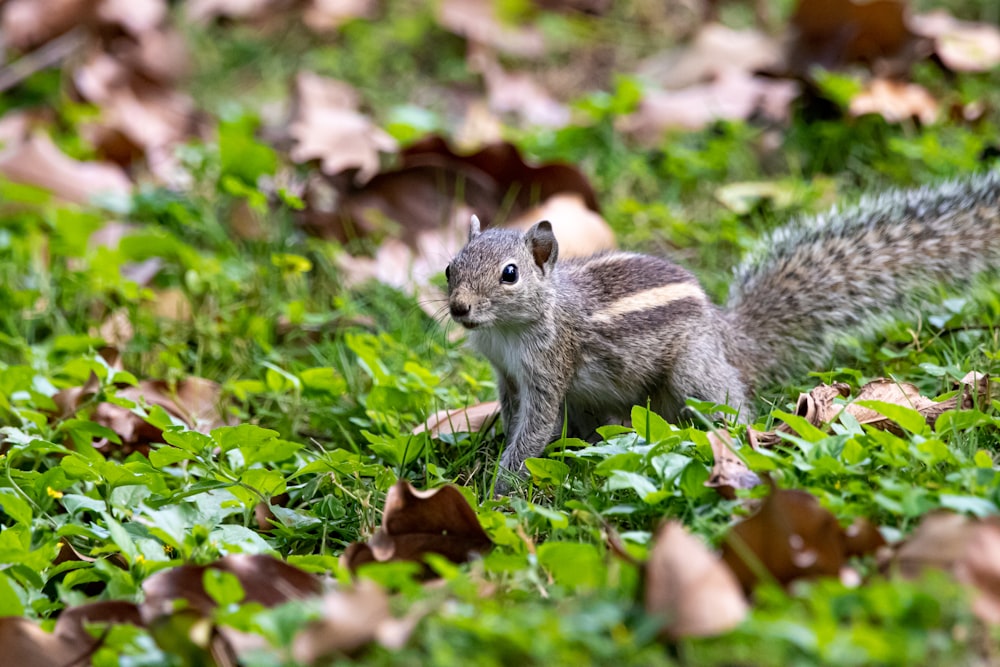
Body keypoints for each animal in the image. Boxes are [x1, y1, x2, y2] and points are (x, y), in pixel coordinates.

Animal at [446, 171, 1000, 486]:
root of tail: (731, 340)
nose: (459, 309)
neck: (510, 329)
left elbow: (535, 429)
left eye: (510, 274)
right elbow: (516, 417)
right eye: (450, 267)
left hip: (693, 374)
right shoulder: (507, 375)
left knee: (730, 408)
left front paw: (497, 490)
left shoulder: (551, 365)